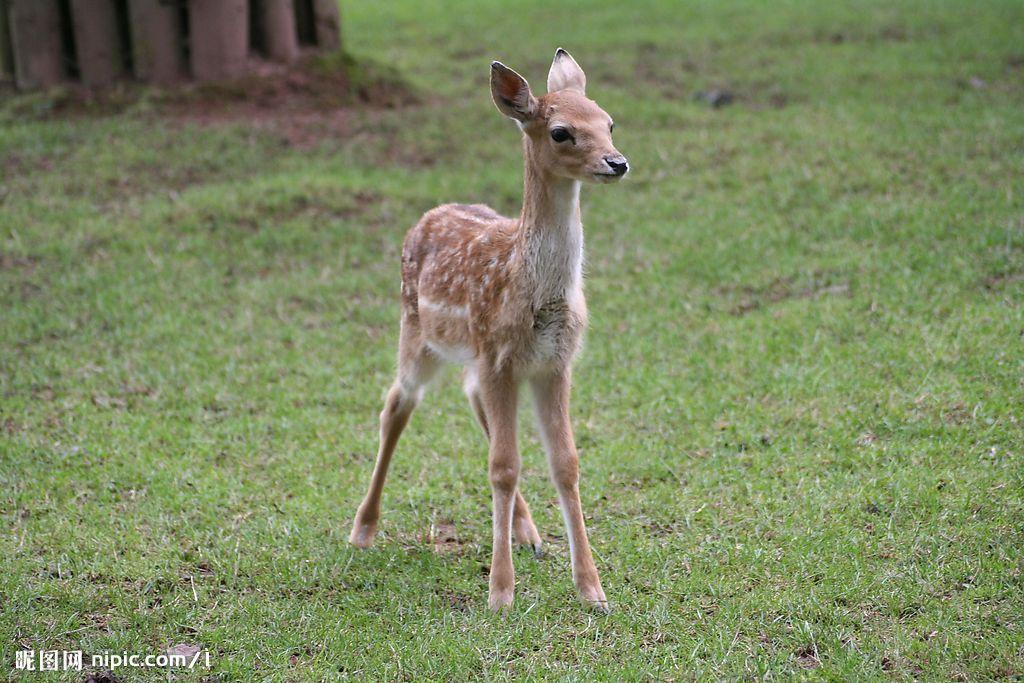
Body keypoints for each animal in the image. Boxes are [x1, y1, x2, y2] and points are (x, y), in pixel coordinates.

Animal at [348, 49, 626, 614]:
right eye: (562, 132)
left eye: (609, 122)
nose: (617, 162)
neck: (532, 286)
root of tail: (426, 215)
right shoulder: (501, 357)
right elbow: (501, 466)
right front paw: (500, 593)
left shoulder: (552, 363)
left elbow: (565, 463)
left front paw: (592, 590)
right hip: (417, 330)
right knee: (396, 404)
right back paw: (362, 529)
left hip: (478, 356)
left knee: (472, 400)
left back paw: (529, 533)